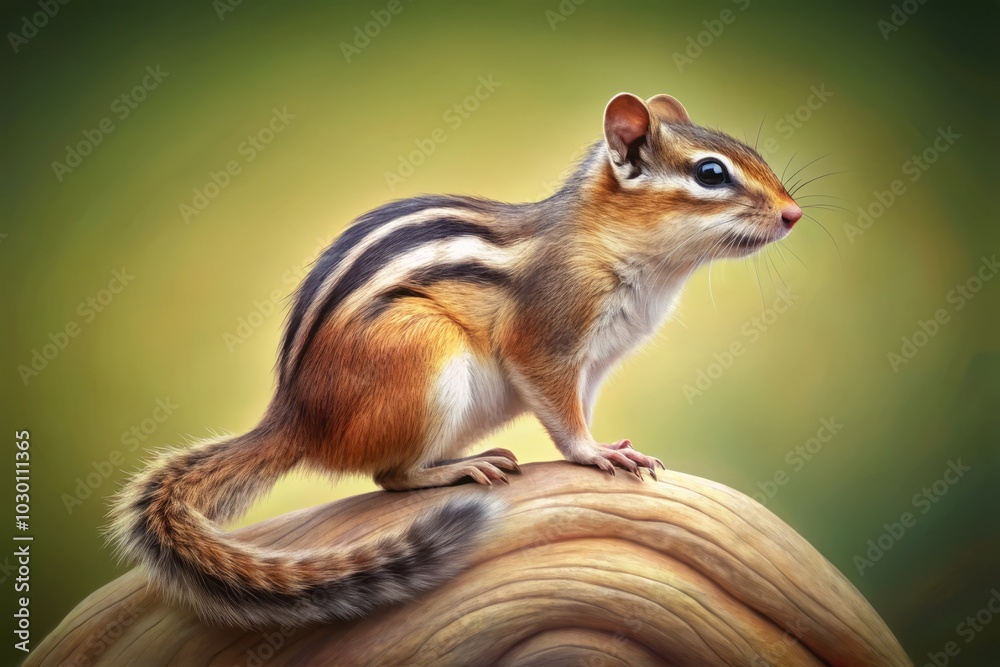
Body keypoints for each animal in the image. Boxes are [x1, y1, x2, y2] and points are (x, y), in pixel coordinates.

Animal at [108, 92, 802, 629]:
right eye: (711, 173)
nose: (795, 214)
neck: (619, 247)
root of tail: (295, 418)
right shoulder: (546, 339)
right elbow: (562, 413)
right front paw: (595, 454)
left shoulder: (597, 362)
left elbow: (579, 405)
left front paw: (611, 446)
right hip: (425, 354)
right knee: (390, 476)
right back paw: (456, 470)